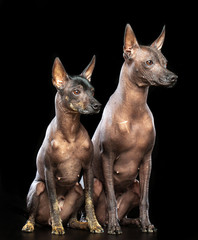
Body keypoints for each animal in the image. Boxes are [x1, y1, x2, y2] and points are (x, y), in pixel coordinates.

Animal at [22, 55, 103, 234]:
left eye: (93, 91)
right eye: (76, 92)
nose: (97, 105)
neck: (70, 132)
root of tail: (47, 221)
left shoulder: (88, 169)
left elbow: (89, 201)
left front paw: (94, 224)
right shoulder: (49, 171)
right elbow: (52, 201)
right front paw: (58, 227)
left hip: (77, 188)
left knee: (71, 219)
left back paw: (80, 224)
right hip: (37, 187)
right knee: (33, 214)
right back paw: (32, 224)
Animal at [92, 24, 178, 234]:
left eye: (165, 62)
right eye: (149, 62)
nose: (173, 77)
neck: (134, 108)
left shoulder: (147, 160)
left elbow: (145, 201)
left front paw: (146, 224)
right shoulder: (107, 157)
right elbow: (111, 198)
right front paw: (114, 228)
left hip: (136, 184)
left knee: (129, 209)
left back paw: (132, 221)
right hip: (95, 184)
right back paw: (107, 223)